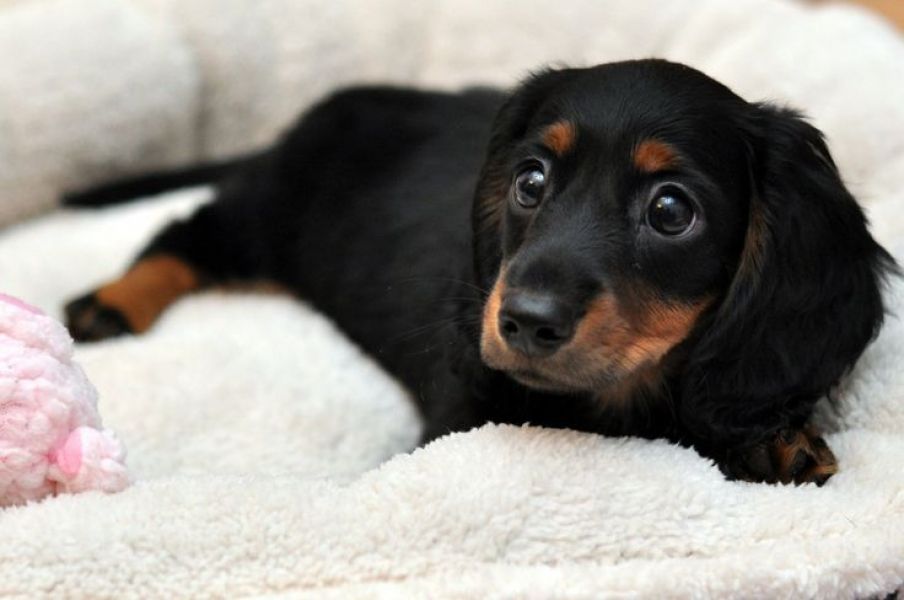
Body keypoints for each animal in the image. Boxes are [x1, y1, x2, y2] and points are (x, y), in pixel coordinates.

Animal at [64, 59, 896, 485]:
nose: (523, 322)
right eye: (530, 181)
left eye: (670, 210)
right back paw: (111, 303)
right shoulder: (459, 419)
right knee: (184, 235)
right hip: (265, 215)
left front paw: (775, 441)